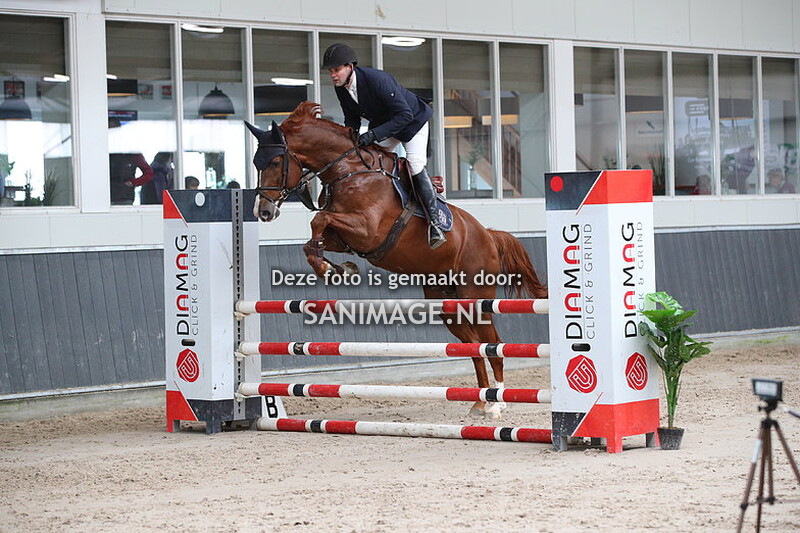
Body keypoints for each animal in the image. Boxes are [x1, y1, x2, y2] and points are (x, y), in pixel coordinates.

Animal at [246, 101, 547, 418]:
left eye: (275, 162)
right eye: (256, 162)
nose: (263, 211)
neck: (349, 171)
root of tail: (487, 234)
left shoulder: (367, 230)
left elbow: (319, 218)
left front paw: (332, 268)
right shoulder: (345, 237)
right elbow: (313, 238)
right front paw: (337, 268)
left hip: (476, 297)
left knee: (494, 345)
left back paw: (497, 404)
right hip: (447, 303)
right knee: (475, 347)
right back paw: (480, 402)